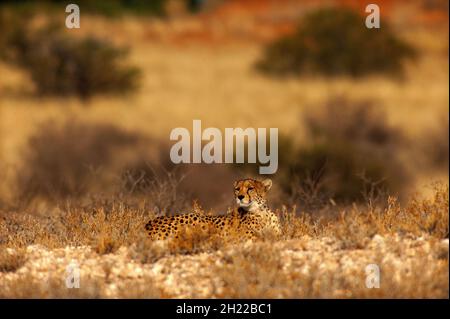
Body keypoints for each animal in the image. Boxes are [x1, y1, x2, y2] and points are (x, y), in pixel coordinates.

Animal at [145, 179, 282, 241]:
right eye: (237, 189)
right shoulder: (244, 236)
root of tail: (148, 224)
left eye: (250, 188)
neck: (262, 212)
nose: (240, 197)